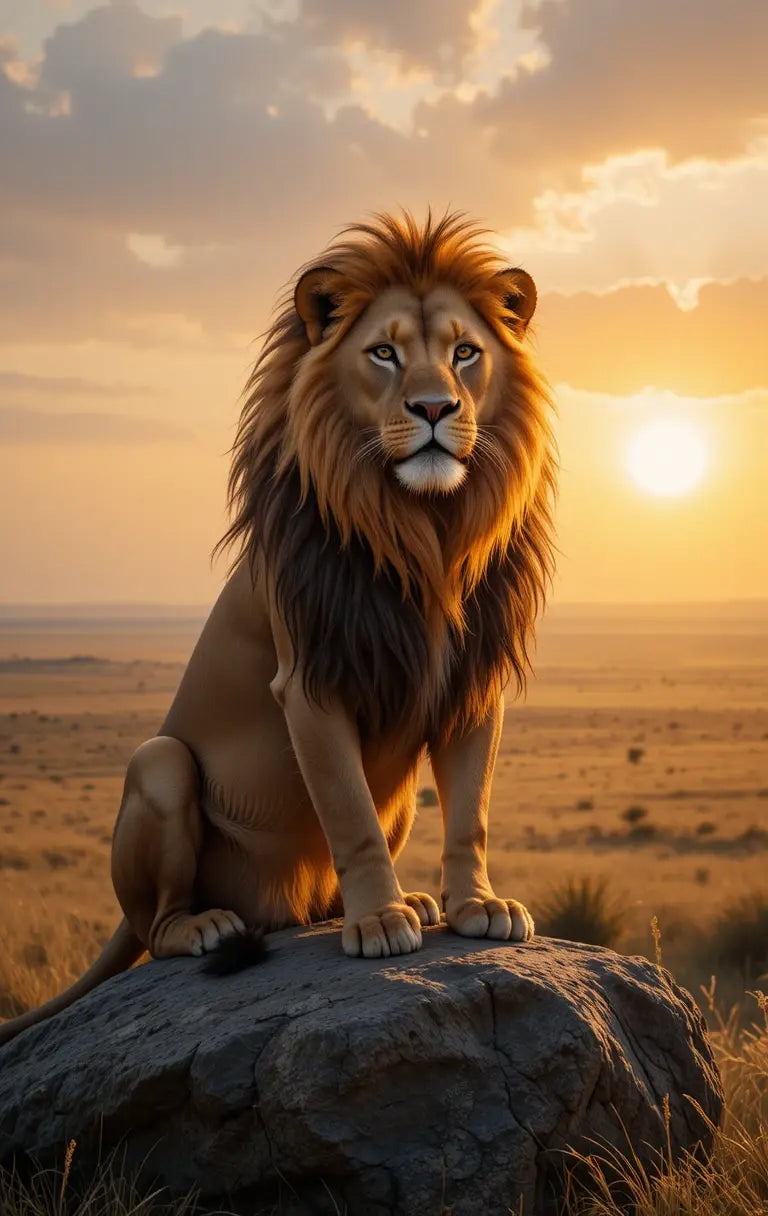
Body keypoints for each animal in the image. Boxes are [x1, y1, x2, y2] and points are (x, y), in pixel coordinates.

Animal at [0, 210, 556, 1048]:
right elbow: (348, 814)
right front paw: (380, 922)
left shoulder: (471, 685)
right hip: (160, 766)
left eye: (466, 353)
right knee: (156, 922)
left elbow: (470, 813)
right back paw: (209, 927)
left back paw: (404, 902)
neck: (424, 531)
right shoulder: (309, 682)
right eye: (384, 353)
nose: (435, 410)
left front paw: (475, 906)